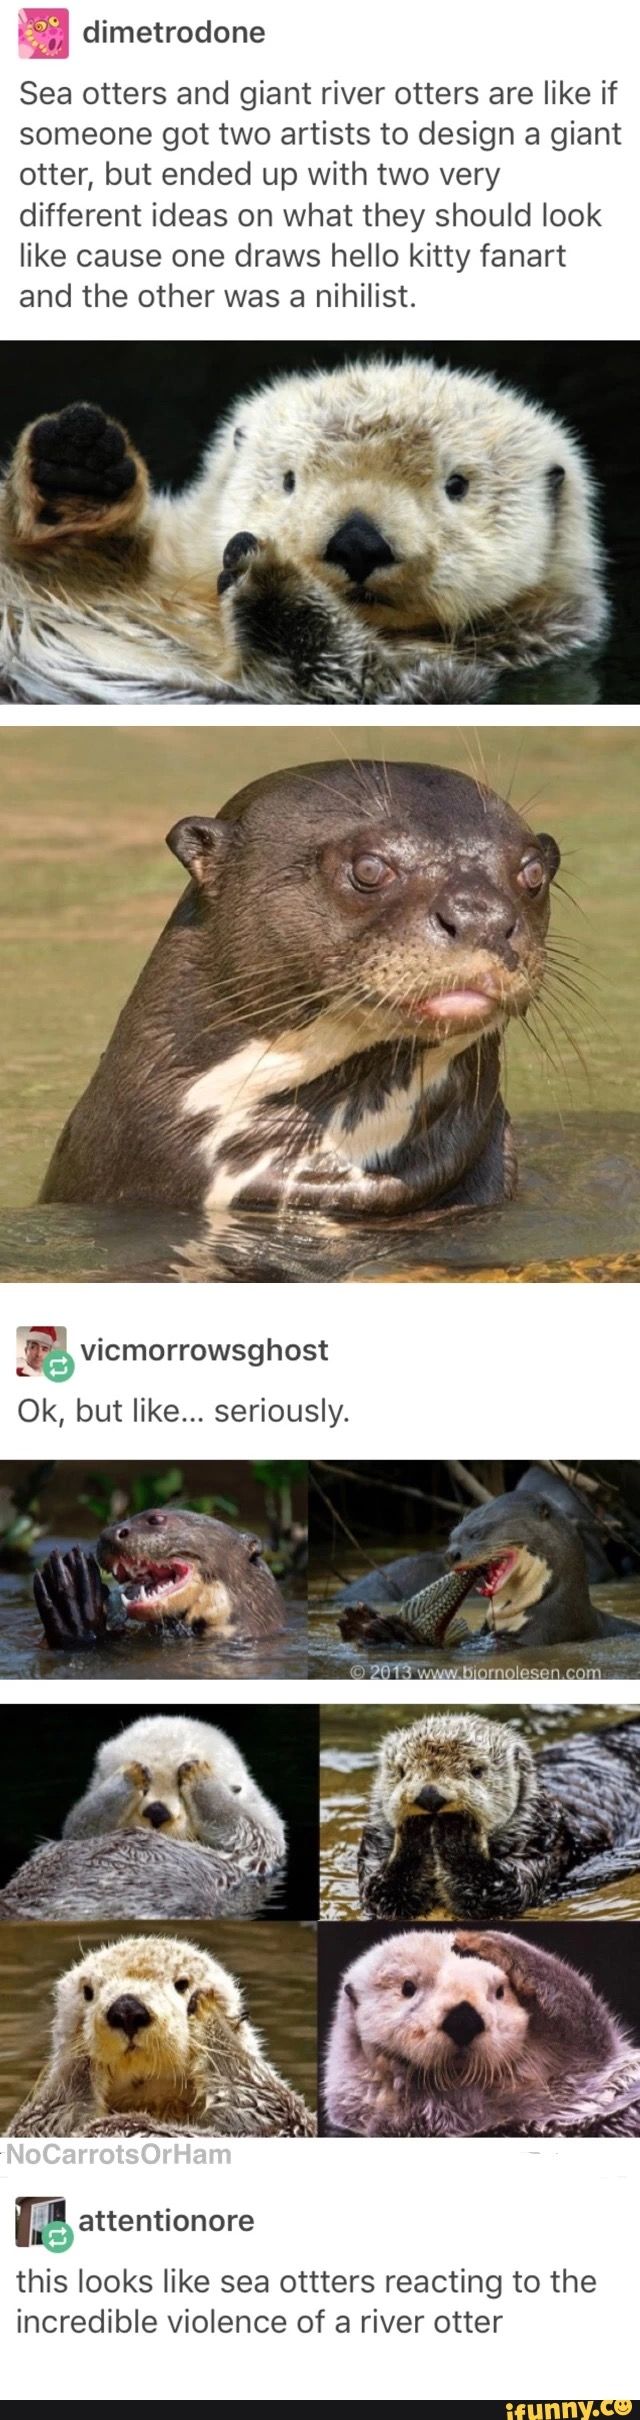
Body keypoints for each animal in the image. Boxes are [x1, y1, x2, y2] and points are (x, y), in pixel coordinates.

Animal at [356, 1713, 640, 1916]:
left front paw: (456, 1826)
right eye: (402, 1771)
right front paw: (415, 1827)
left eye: (477, 1770)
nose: (430, 1795)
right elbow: (381, 1892)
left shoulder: (541, 1843)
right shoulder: (375, 1846)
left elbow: (505, 1891)